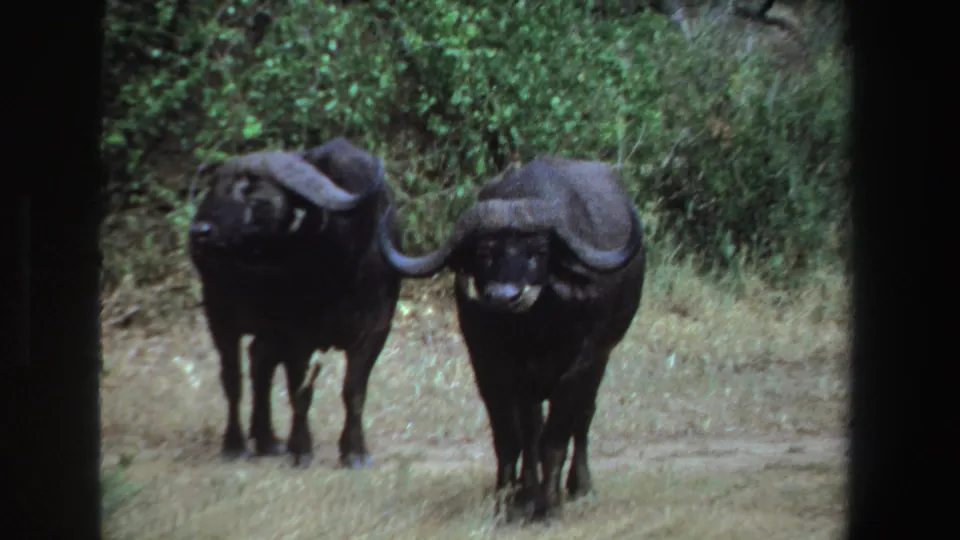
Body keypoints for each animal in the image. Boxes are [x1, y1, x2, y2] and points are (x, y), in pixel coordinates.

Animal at [188, 138, 401, 468]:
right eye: (215, 188)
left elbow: (354, 391)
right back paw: (236, 444)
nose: (200, 231)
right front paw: (301, 449)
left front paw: (354, 451)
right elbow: (300, 391)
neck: (342, 265)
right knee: (233, 378)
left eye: (250, 190)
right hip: (220, 314)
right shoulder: (297, 333)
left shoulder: (376, 328)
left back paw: (267, 439)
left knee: (259, 360)